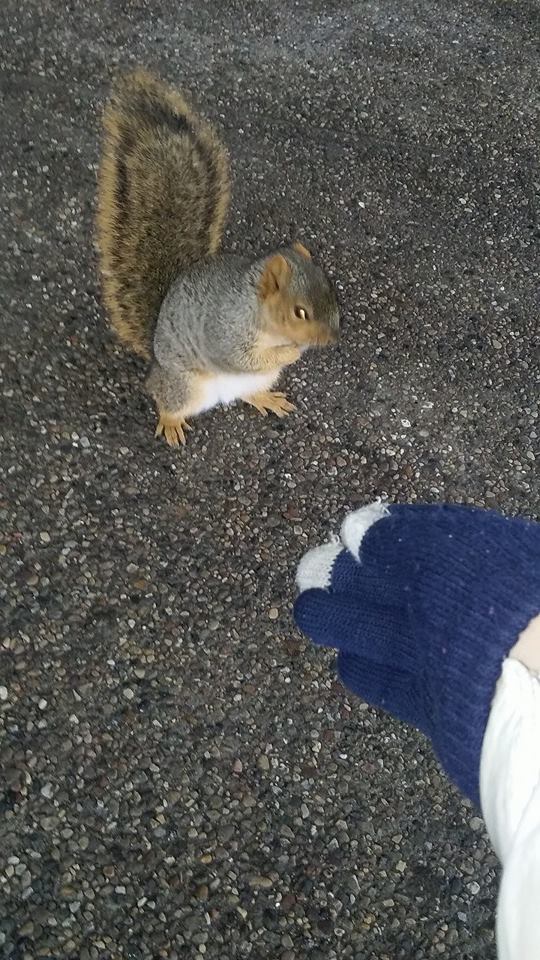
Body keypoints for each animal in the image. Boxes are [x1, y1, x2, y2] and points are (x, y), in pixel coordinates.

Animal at [96, 70, 339, 446]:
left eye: (331, 289)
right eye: (300, 312)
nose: (331, 339)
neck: (258, 312)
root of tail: (156, 362)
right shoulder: (225, 332)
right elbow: (241, 356)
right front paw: (293, 351)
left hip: (252, 382)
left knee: (246, 392)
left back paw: (265, 398)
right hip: (183, 386)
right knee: (165, 398)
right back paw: (170, 422)